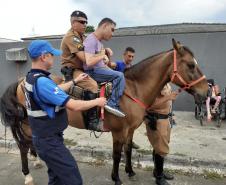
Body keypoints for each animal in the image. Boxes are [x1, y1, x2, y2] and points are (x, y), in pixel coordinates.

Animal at [0, 38, 208, 184]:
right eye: (191, 65)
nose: (206, 92)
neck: (132, 90)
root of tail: (21, 81)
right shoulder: (118, 132)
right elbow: (117, 155)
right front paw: (116, 178)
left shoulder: (130, 130)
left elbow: (128, 150)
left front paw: (130, 171)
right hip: (26, 123)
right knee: (23, 146)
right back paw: (27, 175)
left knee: (30, 144)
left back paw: (36, 161)